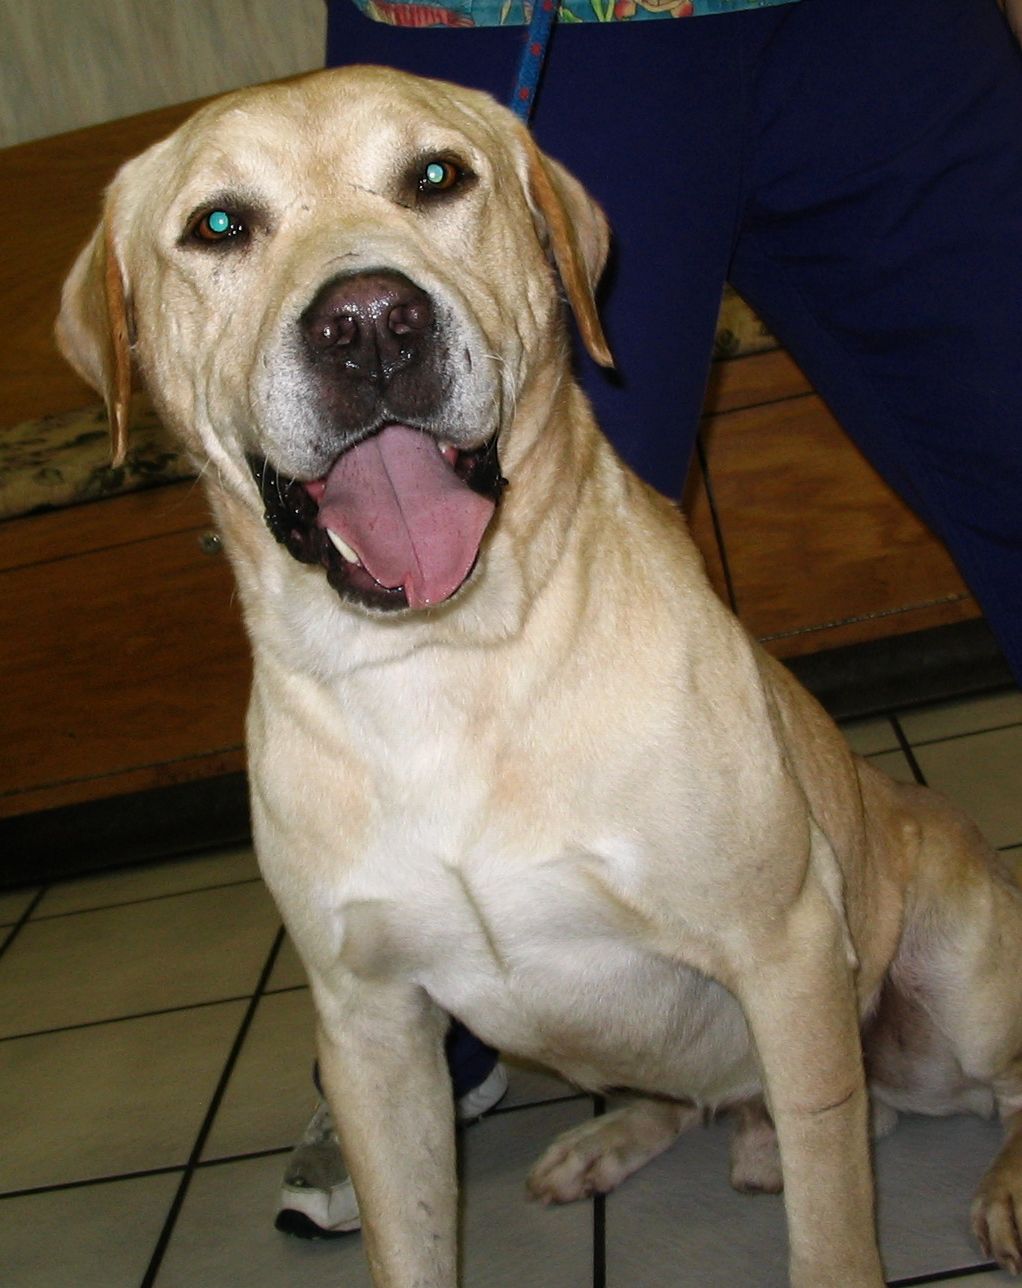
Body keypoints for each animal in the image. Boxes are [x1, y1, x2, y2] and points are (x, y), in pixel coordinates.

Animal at [56, 66, 1022, 1287]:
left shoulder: (788, 949)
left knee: (991, 1089)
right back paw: (613, 1141)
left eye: (437, 176)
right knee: (696, 1099)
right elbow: (411, 1241)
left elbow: (832, 1230)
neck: (438, 663)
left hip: (955, 977)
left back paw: (998, 1186)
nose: (368, 322)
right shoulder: (372, 1028)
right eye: (218, 225)